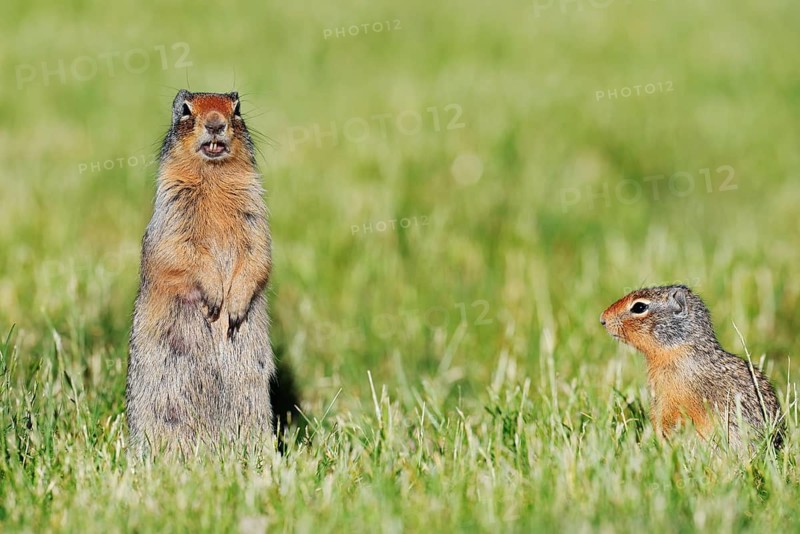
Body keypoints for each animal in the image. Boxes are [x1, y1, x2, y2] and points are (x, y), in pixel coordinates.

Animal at [126, 90, 276, 456]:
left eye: (237, 108)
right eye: (184, 108)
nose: (215, 123)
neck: (213, 179)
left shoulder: (256, 217)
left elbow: (258, 254)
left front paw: (234, 307)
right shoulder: (172, 213)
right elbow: (180, 251)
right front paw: (214, 297)